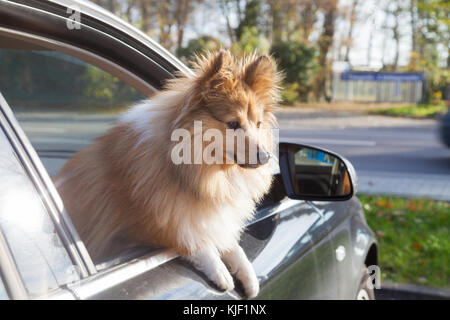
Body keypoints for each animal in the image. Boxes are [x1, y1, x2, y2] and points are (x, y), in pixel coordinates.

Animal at [56, 50, 282, 298]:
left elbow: (229, 242)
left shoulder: (209, 216)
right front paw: (220, 270)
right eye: (233, 123)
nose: (266, 157)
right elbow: (191, 240)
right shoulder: (144, 228)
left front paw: (249, 276)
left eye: (258, 123)